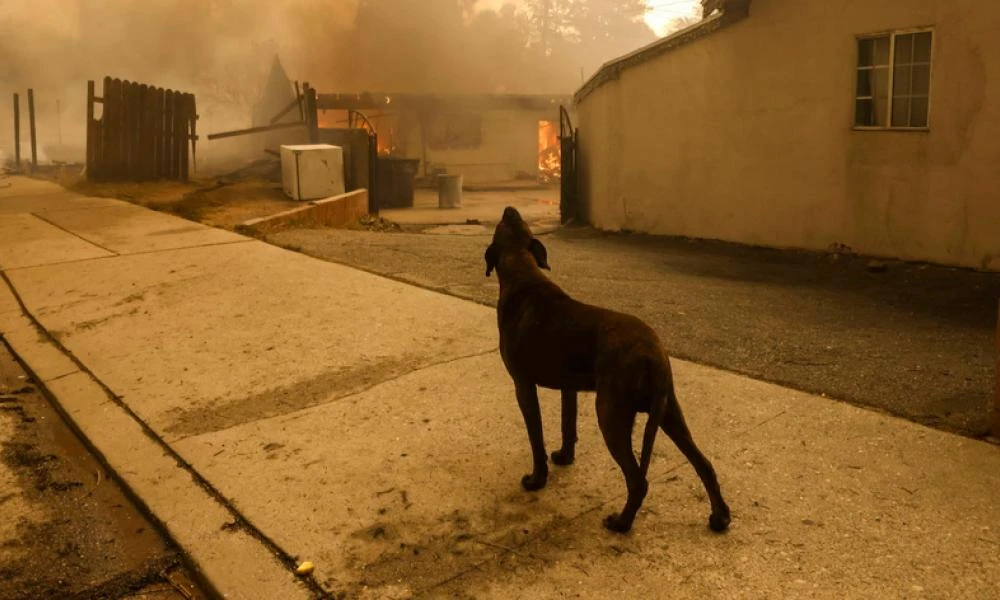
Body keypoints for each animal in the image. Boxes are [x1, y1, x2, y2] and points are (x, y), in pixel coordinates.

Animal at [486, 207, 732, 536]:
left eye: (502, 223)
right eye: (516, 222)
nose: (509, 209)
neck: (523, 271)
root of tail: (652, 353)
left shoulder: (523, 385)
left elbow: (536, 439)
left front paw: (537, 480)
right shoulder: (569, 387)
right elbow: (567, 425)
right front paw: (565, 457)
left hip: (610, 413)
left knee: (638, 480)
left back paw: (621, 523)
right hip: (668, 412)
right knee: (704, 464)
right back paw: (720, 517)